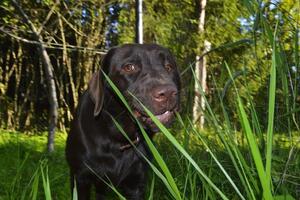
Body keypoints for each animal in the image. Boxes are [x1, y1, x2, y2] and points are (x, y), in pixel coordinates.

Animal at [65, 44, 180, 200]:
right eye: (129, 67)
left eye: (169, 67)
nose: (167, 93)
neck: (117, 137)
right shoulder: (81, 179)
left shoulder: (136, 184)